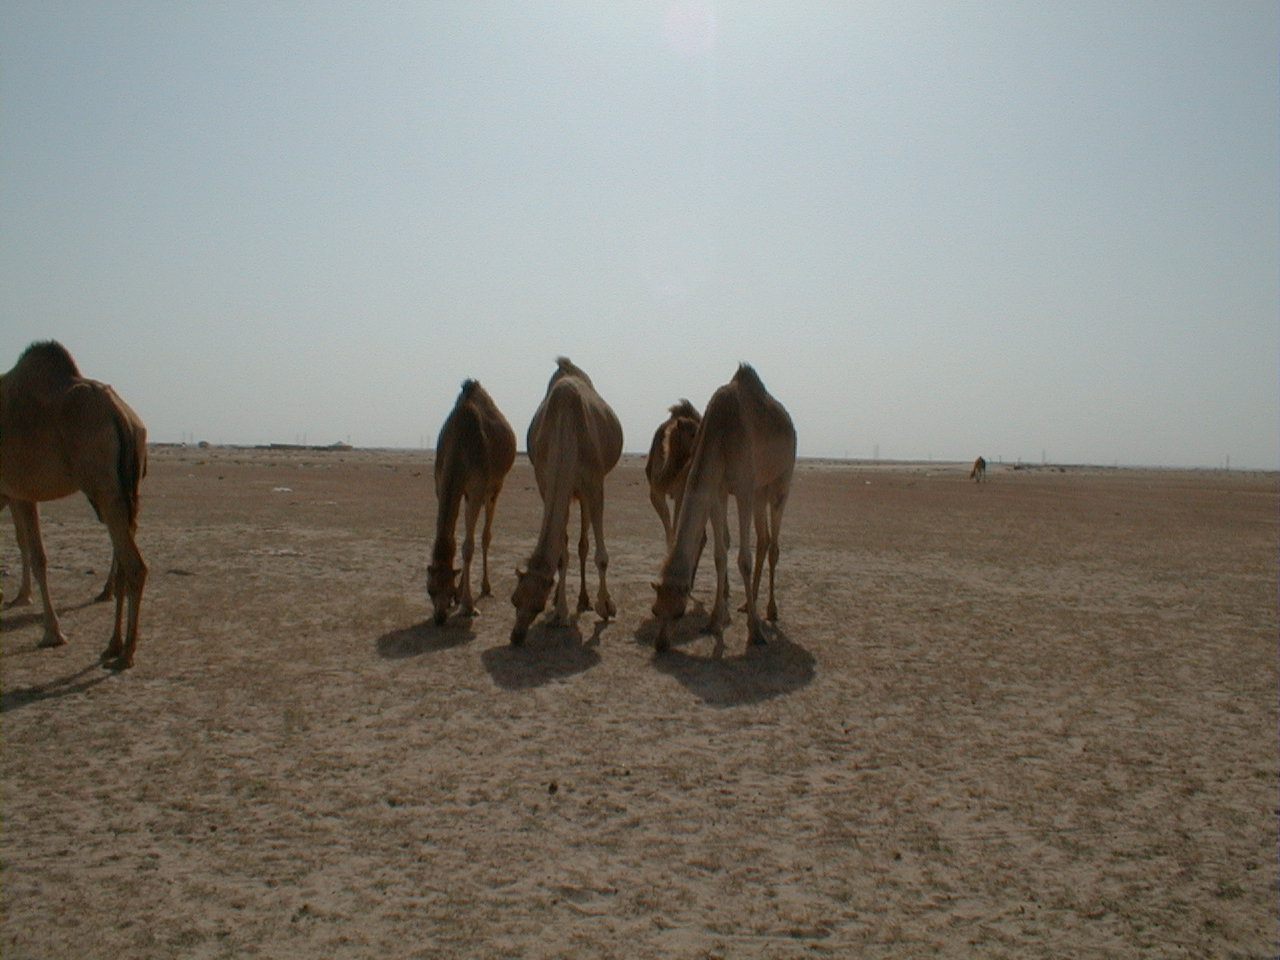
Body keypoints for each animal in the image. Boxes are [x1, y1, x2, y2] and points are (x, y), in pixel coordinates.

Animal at [0, 341, 148, 670]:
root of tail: (122, 415)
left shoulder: (19, 490)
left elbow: (38, 556)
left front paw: (52, 633)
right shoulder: (19, 492)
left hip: (103, 486)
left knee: (135, 566)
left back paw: (127, 654)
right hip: (125, 488)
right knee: (125, 558)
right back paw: (112, 645)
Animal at [426, 379, 516, 625]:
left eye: (447, 589)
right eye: (430, 590)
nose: (439, 617)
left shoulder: (477, 487)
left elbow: (468, 546)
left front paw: (467, 605)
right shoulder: (440, 484)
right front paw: (461, 598)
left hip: (494, 487)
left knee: (485, 536)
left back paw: (486, 587)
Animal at [511, 358, 623, 645]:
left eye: (536, 606)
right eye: (514, 600)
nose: (516, 636)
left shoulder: (594, 483)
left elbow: (601, 556)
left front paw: (606, 607)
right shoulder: (545, 481)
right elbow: (561, 554)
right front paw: (560, 613)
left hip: (583, 491)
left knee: (584, 542)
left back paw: (585, 600)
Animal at [651, 363, 795, 656]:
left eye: (678, 613)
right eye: (655, 610)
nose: (660, 644)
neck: (720, 433)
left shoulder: (742, 487)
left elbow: (743, 559)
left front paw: (755, 633)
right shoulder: (718, 489)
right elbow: (720, 553)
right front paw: (713, 622)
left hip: (780, 482)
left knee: (773, 544)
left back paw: (770, 611)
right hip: (759, 491)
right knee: (763, 539)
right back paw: (747, 604)